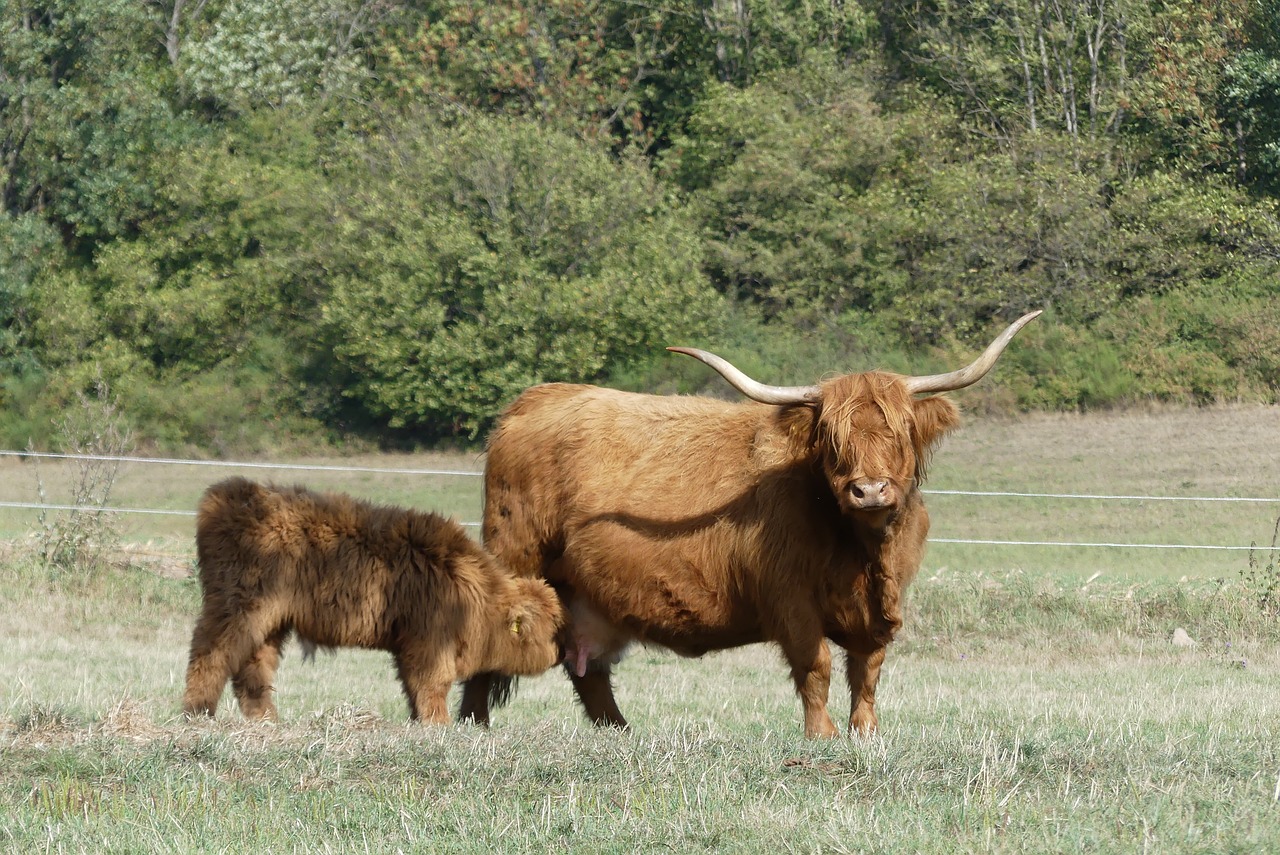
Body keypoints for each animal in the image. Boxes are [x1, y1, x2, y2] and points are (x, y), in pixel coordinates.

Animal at [183, 478, 563, 727]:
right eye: (548, 631)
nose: (557, 655)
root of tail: (233, 494)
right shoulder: (429, 643)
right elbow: (432, 685)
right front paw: (437, 724)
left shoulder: (410, 644)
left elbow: (413, 687)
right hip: (237, 605)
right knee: (210, 651)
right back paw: (197, 711)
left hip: (269, 622)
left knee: (252, 667)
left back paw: (265, 719)